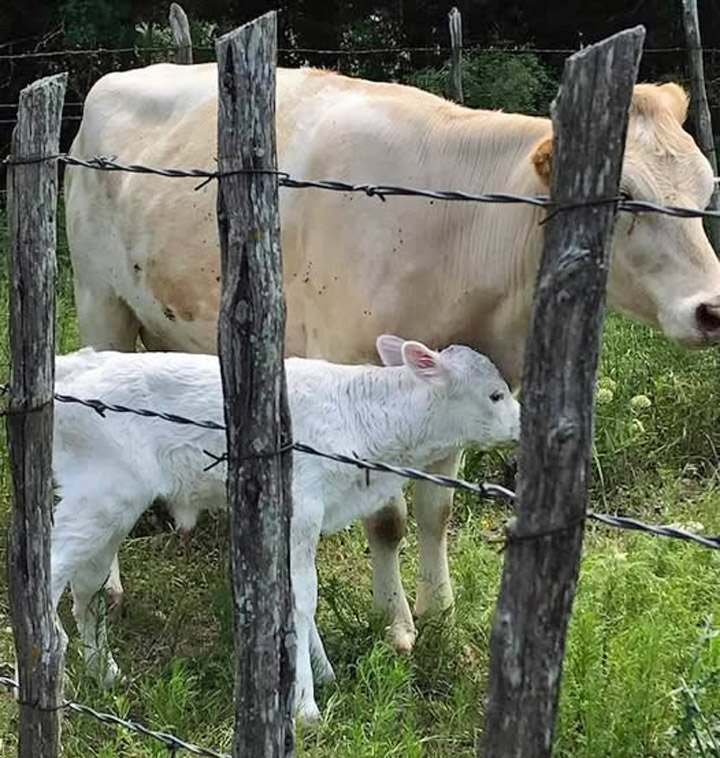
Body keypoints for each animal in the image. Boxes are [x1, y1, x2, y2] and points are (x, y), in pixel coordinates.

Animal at [65, 64, 720, 652]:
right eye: (626, 196)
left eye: (706, 189)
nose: (711, 308)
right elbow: (388, 519)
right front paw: (395, 623)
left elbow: (437, 510)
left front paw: (440, 612)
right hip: (100, 302)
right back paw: (108, 580)